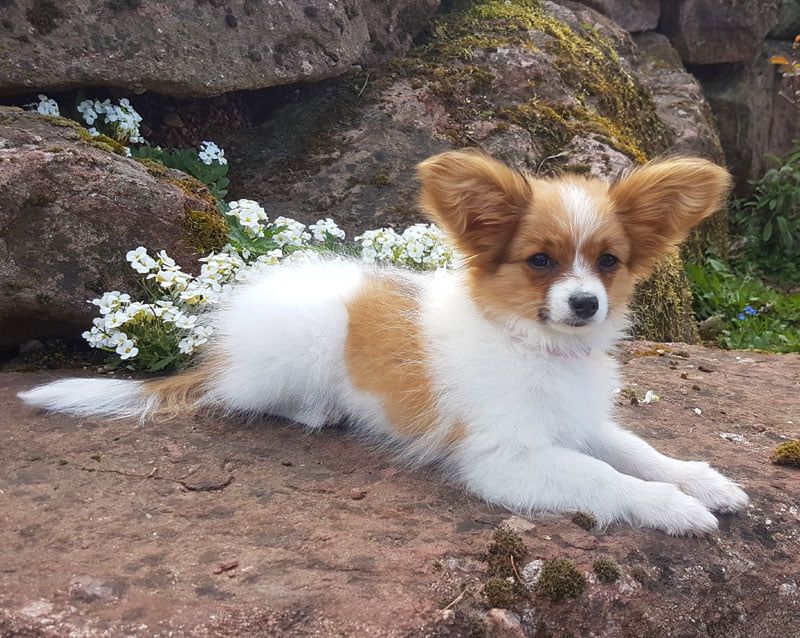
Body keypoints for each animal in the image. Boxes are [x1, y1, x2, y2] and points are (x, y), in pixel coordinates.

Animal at [18, 150, 752, 536]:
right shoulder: (506, 460)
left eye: (608, 263)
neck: (535, 346)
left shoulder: (580, 423)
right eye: (540, 262)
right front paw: (673, 508)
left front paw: (701, 481)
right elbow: (603, 477)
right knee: (240, 397)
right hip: (295, 354)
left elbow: (638, 452)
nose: (585, 304)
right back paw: (318, 409)